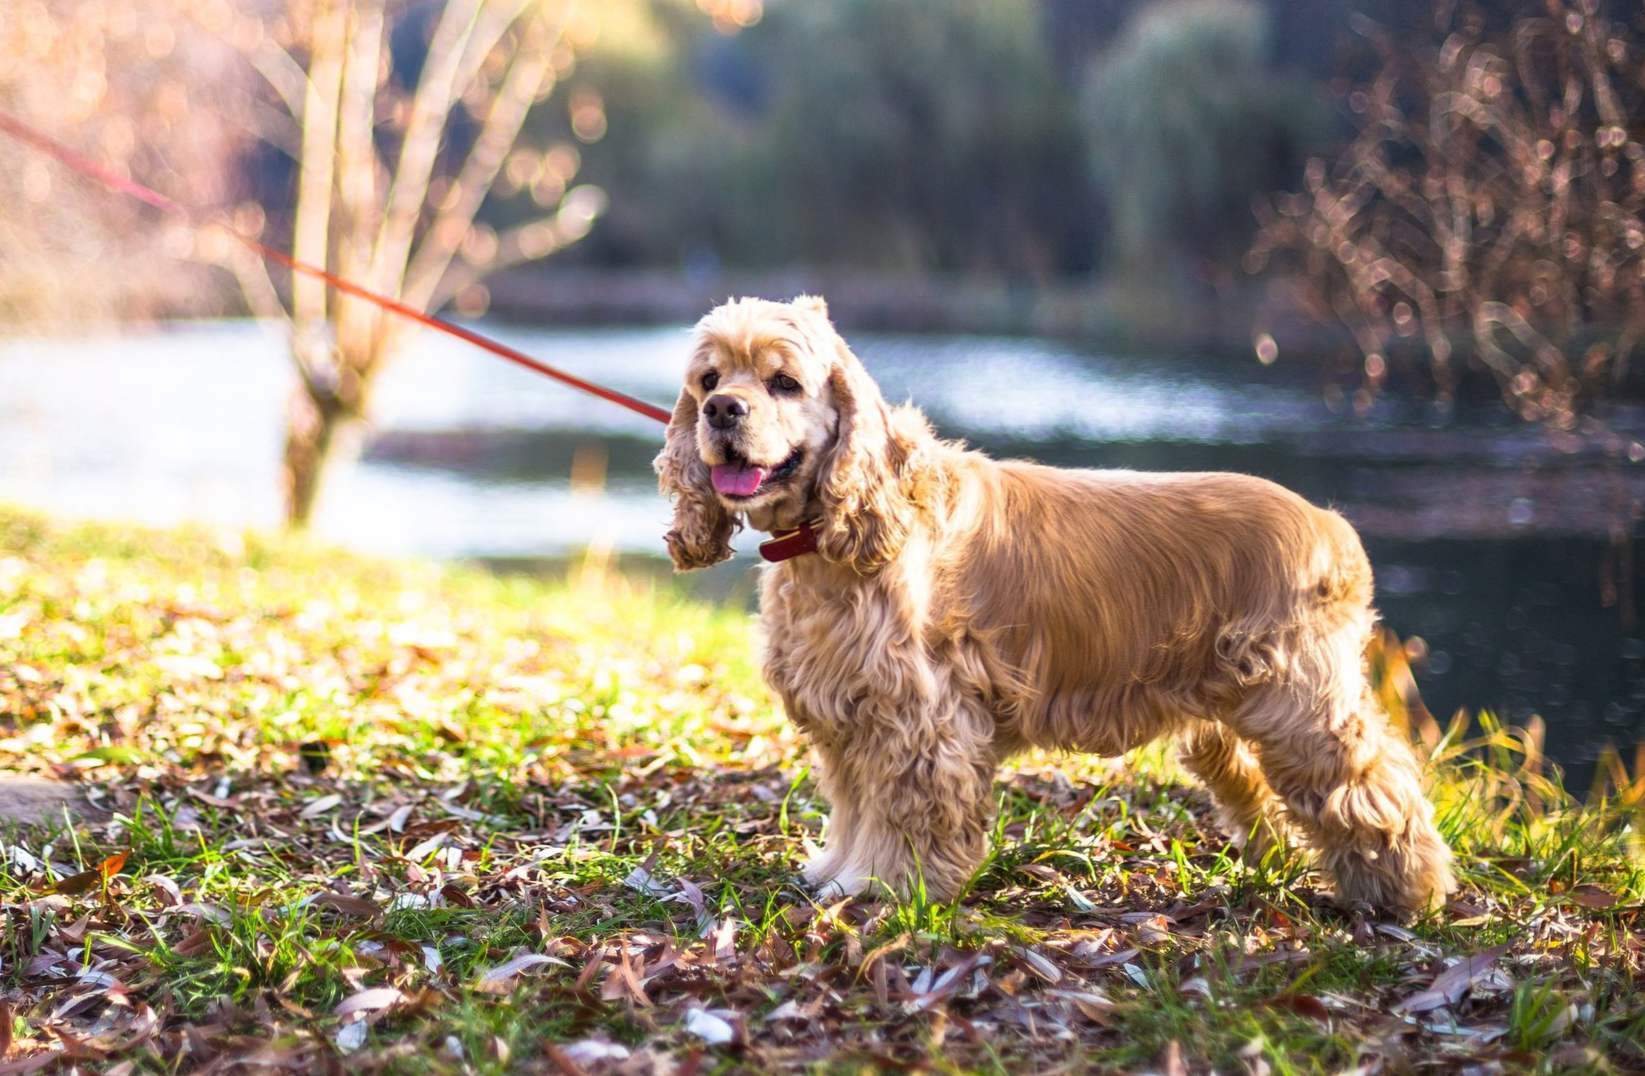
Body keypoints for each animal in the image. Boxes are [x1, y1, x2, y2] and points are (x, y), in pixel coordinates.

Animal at [654, 297, 1454, 921]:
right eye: (709, 379)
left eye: (784, 382)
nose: (722, 410)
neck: (833, 539)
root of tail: (1332, 528)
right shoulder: (845, 713)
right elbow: (854, 806)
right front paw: (838, 871)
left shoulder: (918, 718)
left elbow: (907, 815)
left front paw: (887, 887)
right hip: (1228, 721)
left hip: (1300, 706)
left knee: (1374, 788)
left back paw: (1407, 895)